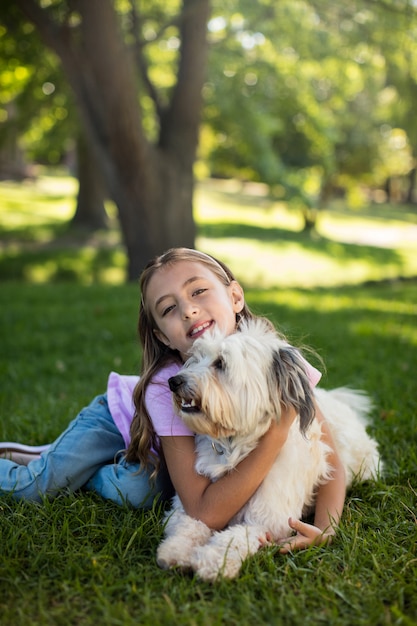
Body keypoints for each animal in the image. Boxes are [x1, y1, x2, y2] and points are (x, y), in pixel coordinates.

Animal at [155, 316, 380, 580]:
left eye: (220, 363)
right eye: (196, 357)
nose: (173, 381)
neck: (237, 447)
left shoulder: (266, 521)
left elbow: (233, 538)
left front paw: (213, 561)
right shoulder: (192, 504)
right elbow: (190, 522)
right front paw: (176, 550)